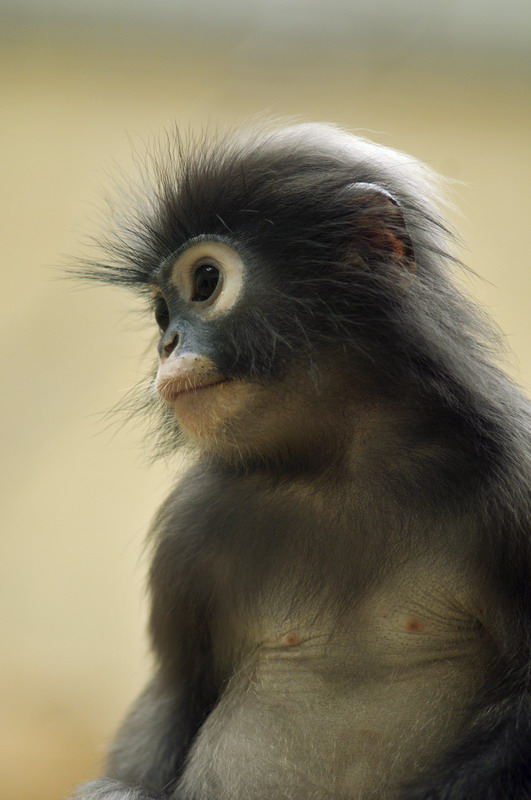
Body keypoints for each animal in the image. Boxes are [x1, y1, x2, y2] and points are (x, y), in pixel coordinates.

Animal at [73, 123, 530, 800]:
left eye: (205, 281)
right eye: (159, 313)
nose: (167, 343)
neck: (338, 461)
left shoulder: (517, 471)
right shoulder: (189, 528)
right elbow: (174, 699)